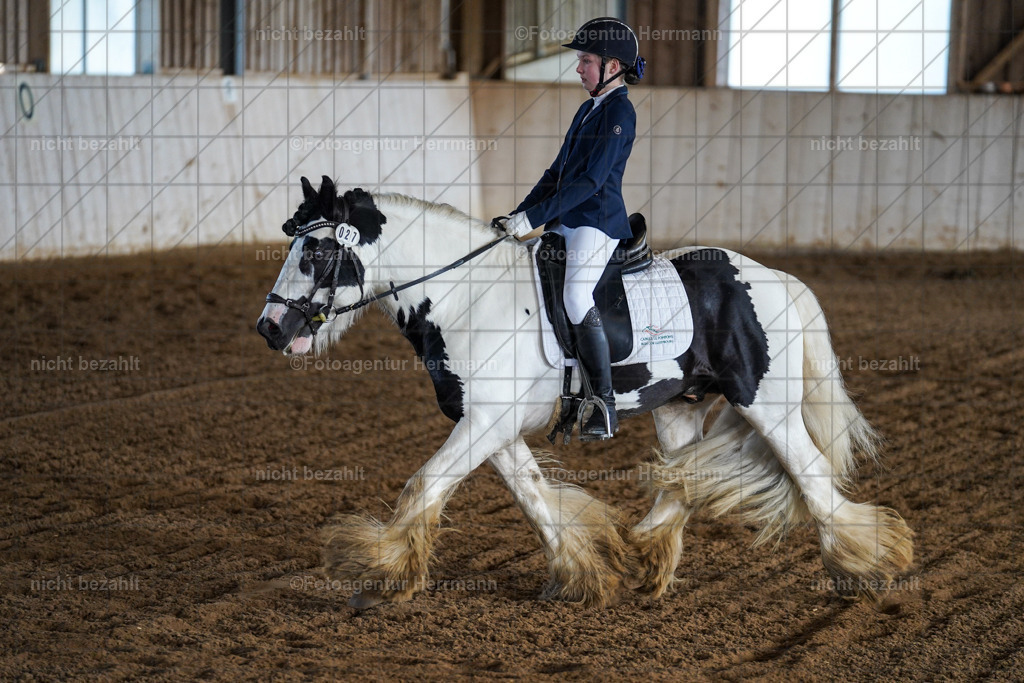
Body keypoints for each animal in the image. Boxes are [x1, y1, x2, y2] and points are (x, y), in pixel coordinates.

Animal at [256, 176, 914, 609]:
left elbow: (424, 485)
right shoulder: (490, 426)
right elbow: (534, 500)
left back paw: (868, 568)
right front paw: (582, 574)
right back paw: (645, 560)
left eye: (316, 251)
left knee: (814, 479)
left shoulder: (484, 424)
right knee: (683, 480)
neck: (467, 299)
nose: (270, 328)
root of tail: (774, 277)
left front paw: (375, 570)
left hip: (768, 405)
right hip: (679, 406)